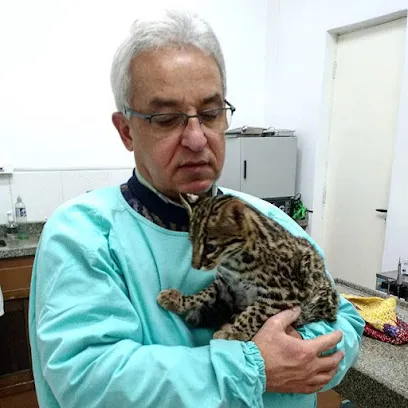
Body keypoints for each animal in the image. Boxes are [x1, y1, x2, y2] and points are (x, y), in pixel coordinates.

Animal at [158, 193, 340, 340]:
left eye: (210, 248)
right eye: (191, 242)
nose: (195, 266)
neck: (234, 261)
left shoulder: (285, 293)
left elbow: (254, 313)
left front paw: (233, 332)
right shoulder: (224, 283)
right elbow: (203, 294)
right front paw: (180, 300)